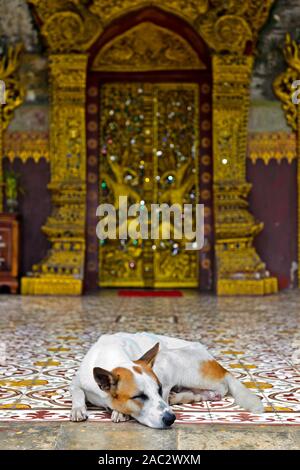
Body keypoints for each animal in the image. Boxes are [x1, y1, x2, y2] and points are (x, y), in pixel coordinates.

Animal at [69, 330, 262, 430]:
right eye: (139, 396)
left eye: (158, 389)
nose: (170, 419)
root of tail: (220, 367)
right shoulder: (77, 380)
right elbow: (77, 392)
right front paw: (78, 409)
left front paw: (120, 412)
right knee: (208, 394)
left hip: (166, 358)